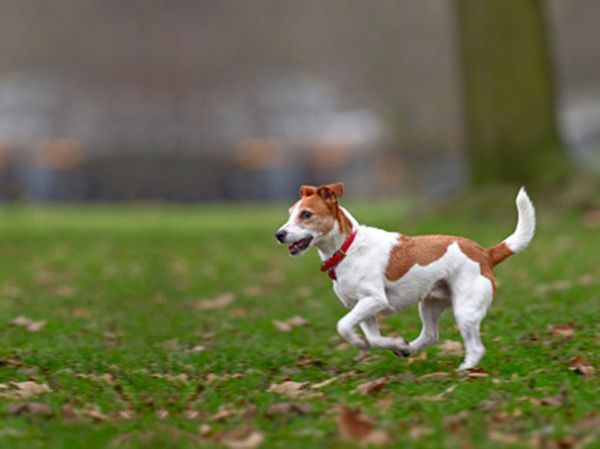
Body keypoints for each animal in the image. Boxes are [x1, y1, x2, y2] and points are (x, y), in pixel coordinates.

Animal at [274, 182, 536, 368]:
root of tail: (486, 253)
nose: (279, 234)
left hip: (466, 309)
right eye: (290, 214)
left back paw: (464, 370)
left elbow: (343, 325)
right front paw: (392, 344)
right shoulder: (364, 307)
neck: (347, 248)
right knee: (430, 335)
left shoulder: (374, 299)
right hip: (430, 303)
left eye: (306, 214)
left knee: (475, 347)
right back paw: (408, 349)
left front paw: (360, 342)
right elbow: (373, 338)